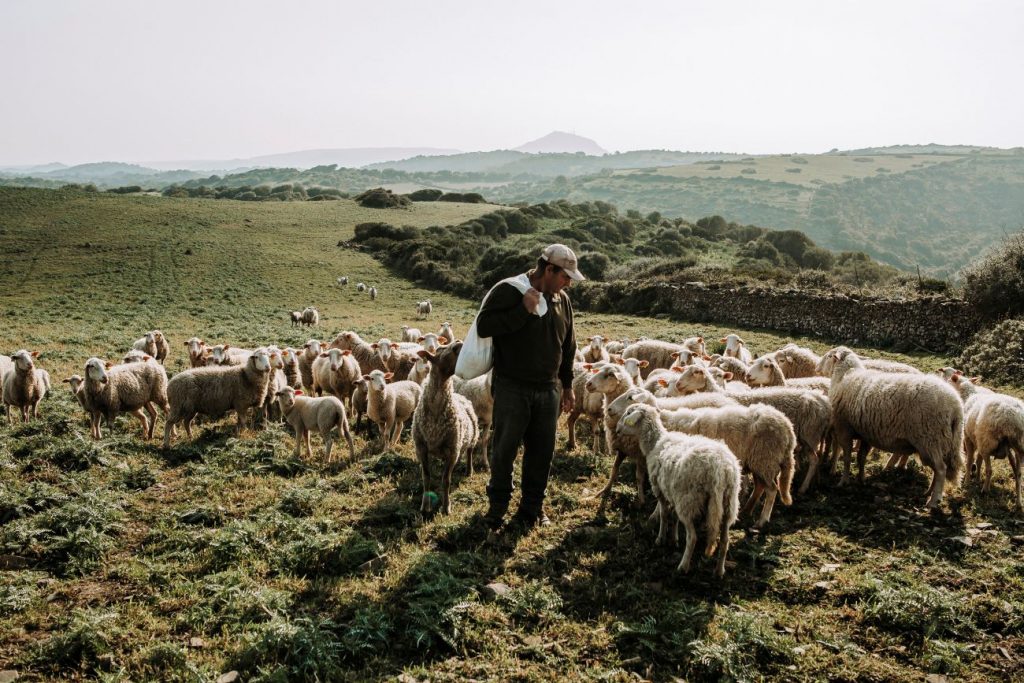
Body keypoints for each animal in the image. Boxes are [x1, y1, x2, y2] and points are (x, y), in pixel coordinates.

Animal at [411, 339, 479, 516]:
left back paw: (469, 471)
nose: (459, 343)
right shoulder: (421, 447)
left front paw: (446, 507)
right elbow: (426, 477)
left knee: (469, 452)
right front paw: (425, 505)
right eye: (441, 349)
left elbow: (446, 481)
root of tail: (460, 396)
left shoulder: (452, 451)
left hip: (473, 435)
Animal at [610, 405, 741, 577]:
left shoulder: (659, 490)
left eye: (628, 413)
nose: (617, 429)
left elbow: (664, 515)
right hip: (728, 503)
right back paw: (719, 571)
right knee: (725, 540)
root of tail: (721, 469)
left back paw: (683, 566)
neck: (655, 443)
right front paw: (674, 539)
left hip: (690, 501)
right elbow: (674, 517)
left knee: (692, 538)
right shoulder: (674, 492)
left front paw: (661, 539)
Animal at [659, 403, 794, 532]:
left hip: (765, 460)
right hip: (759, 463)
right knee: (760, 486)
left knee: (772, 489)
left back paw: (761, 521)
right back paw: (746, 511)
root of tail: (788, 428)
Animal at [819, 344, 962, 509]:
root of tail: (956, 407)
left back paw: (933, 500)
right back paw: (928, 492)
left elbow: (848, 457)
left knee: (941, 469)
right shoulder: (865, 434)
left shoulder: (844, 429)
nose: (817, 367)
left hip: (930, 439)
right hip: (935, 443)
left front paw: (843, 481)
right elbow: (861, 457)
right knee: (936, 470)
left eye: (829, 356)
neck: (844, 377)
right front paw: (861, 479)